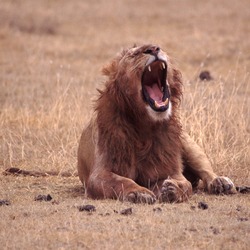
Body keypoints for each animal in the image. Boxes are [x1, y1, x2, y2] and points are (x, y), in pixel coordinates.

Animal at [77, 44, 235, 203]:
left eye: (159, 47)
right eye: (134, 55)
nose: (153, 49)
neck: (145, 126)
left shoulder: (171, 169)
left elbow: (186, 185)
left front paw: (172, 189)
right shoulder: (99, 174)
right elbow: (121, 181)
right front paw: (139, 192)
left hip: (188, 144)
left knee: (205, 169)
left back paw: (221, 183)